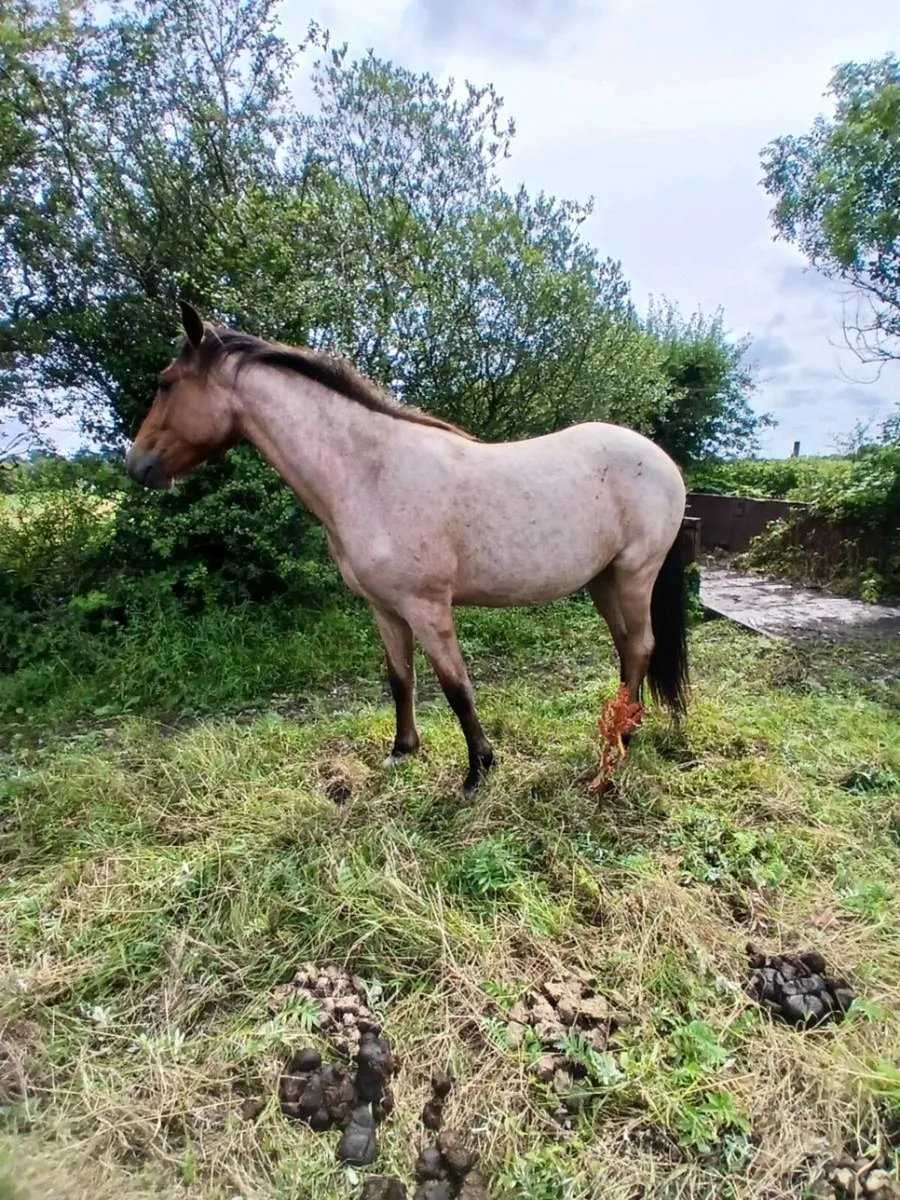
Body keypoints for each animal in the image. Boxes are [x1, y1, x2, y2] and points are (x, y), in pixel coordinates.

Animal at [126, 301, 689, 795]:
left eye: (165, 383)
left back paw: (623, 736)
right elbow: (400, 678)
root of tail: (662, 459)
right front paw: (402, 751)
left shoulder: (427, 607)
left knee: (640, 645)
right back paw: (626, 724)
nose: (137, 467)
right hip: (603, 580)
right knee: (626, 647)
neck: (370, 473)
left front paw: (477, 772)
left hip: (636, 572)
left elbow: (456, 687)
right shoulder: (385, 608)